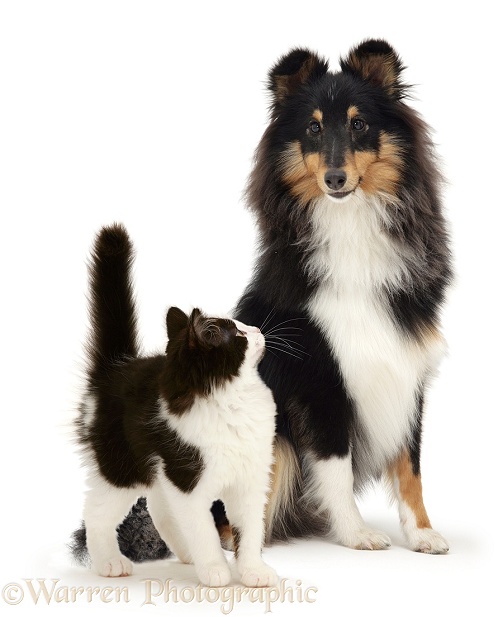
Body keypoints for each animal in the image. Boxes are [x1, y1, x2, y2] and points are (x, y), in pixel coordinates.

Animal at [75, 225, 276, 588]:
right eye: (238, 334)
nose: (256, 329)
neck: (234, 399)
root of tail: (115, 370)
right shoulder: (188, 482)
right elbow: (204, 530)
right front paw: (215, 571)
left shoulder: (251, 479)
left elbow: (251, 529)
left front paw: (254, 571)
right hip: (122, 469)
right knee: (96, 513)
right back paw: (110, 562)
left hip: (158, 473)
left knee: (160, 510)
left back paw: (185, 555)